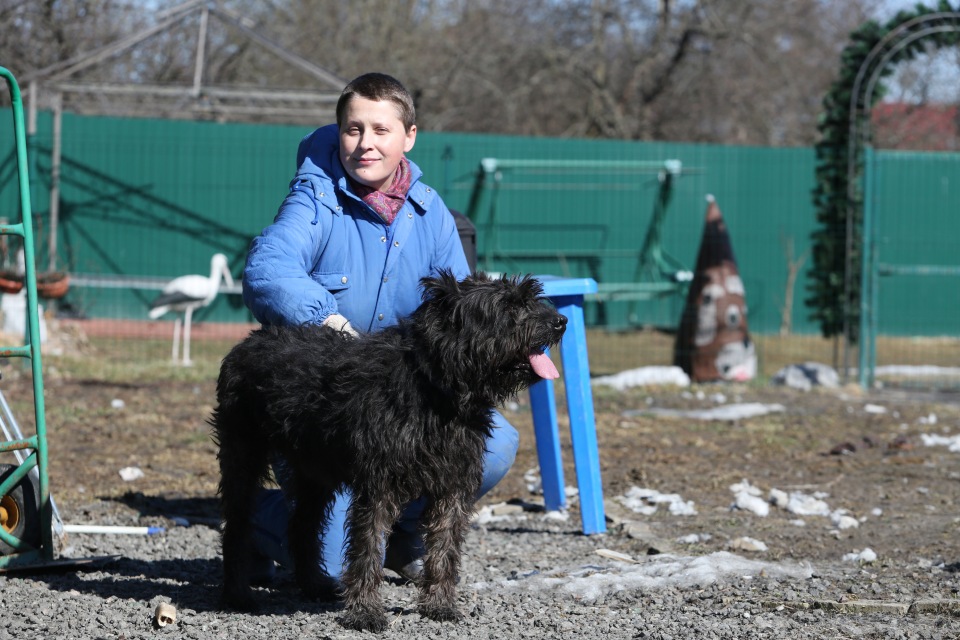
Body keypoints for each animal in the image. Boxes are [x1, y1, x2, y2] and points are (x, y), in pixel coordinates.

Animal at [211, 271, 567, 632]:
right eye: (508, 306)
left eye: (531, 297)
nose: (560, 321)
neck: (434, 387)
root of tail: (247, 342)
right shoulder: (378, 485)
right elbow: (368, 548)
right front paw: (365, 612)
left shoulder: (452, 486)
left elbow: (444, 548)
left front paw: (439, 604)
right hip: (243, 456)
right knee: (237, 525)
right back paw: (238, 594)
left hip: (315, 472)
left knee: (301, 526)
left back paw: (313, 584)